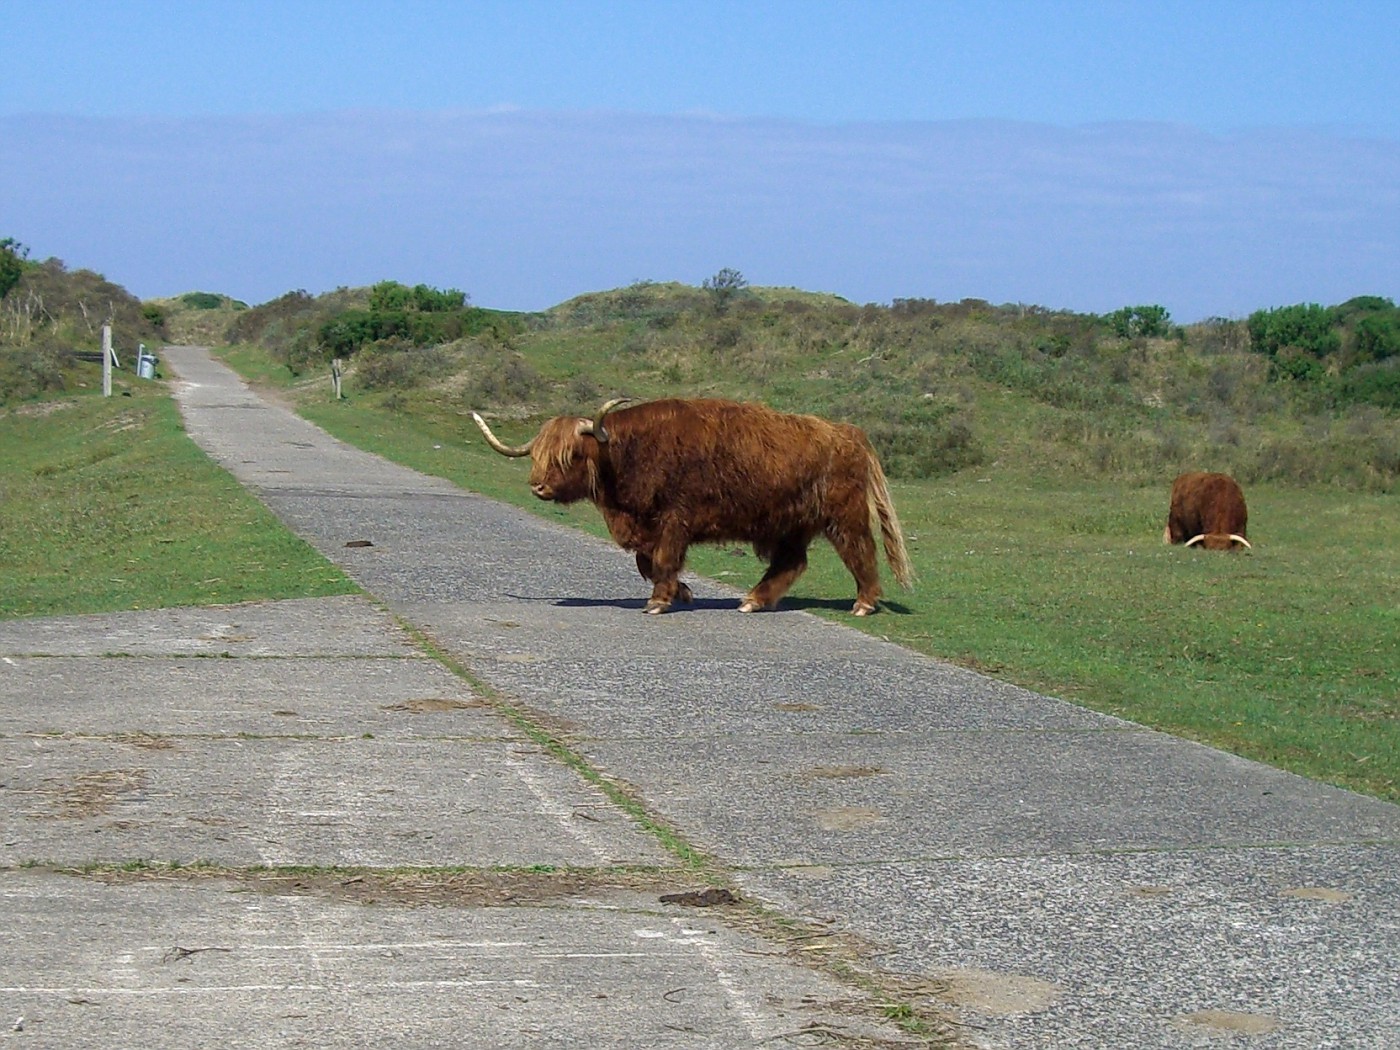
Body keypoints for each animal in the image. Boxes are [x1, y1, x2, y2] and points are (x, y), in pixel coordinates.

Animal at [473, 400, 918, 616]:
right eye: (537, 455)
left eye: (570, 455)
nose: (538, 486)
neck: (628, 452)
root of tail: (849, 434)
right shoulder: (649, 525)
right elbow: (646, 560)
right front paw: (680, 591)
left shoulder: (675, 519)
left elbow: (661, 559)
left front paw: (659, 601)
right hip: (790, 524)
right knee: (792, 563)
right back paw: (753, 601)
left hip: (844, 517)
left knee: (861, 553)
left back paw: (864, 604)